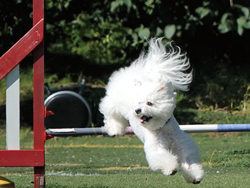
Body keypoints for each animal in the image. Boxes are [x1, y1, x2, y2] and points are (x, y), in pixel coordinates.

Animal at [98, 37, 204, 184]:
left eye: (149, 103)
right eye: (138, 103)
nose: (137, 110)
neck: (161, 127)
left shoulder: (181, 144)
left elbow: (188, 160)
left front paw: (194, 176)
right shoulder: (156, 147)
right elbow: (162, 157)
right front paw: (171, 169)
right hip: (114, 103)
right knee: (109, 112)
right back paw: (114, 129)